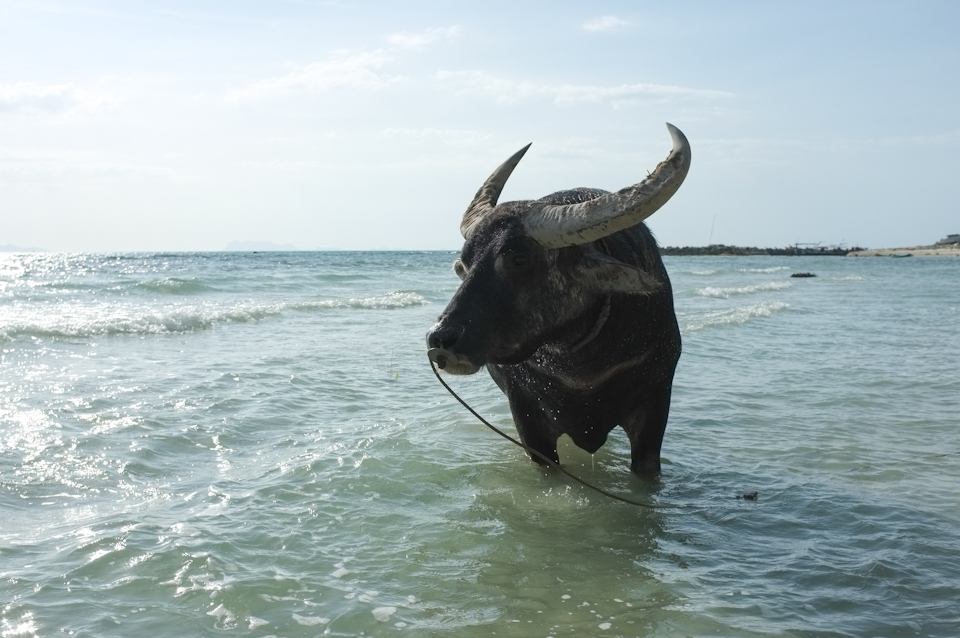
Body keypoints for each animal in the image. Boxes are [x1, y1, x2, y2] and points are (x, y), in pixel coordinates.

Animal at [428, 125, 688, 478]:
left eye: (518, 258)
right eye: (465, 264)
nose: (439, 339)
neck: (581, 368)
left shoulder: (655, 407)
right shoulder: (527, 416)